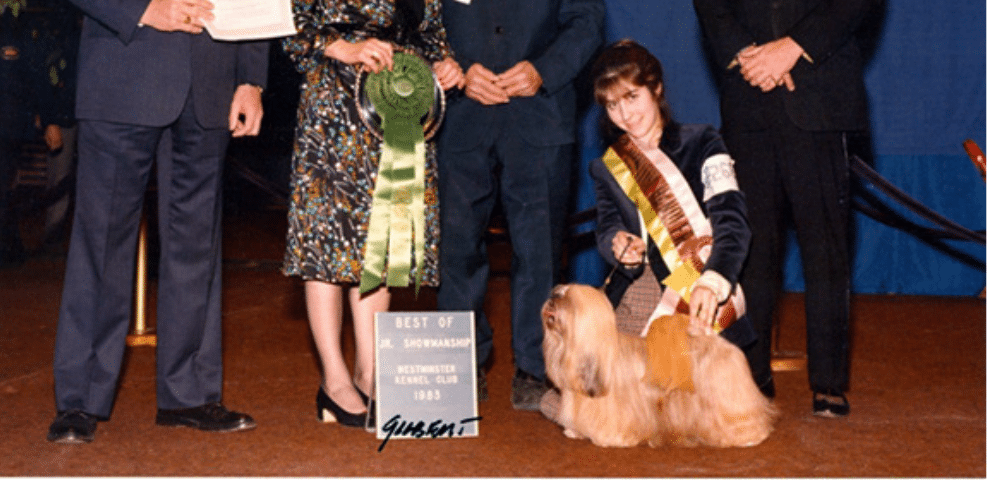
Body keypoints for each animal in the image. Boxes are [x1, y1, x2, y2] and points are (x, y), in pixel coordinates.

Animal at [540, 284, 780, 448]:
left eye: (565, 298)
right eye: (556, 292)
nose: (550, 299)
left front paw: (609, 438)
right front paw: (575, 432)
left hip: (728, 397)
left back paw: (749, 435)